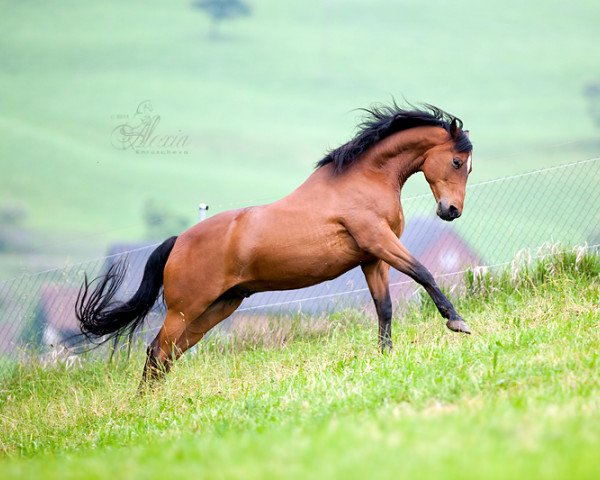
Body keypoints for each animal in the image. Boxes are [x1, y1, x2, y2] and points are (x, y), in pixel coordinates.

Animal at [77, 102, 474, 386]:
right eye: (457, 162)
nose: (451, 211)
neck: (363, 180)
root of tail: (177, 242)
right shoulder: (380, 241)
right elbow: (424, 273)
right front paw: (457, 322)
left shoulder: (371, 258)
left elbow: (385, 309)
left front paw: (386, 357)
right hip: (184, 310)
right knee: (156, 352)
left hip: (216, 309)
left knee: (166, 356)